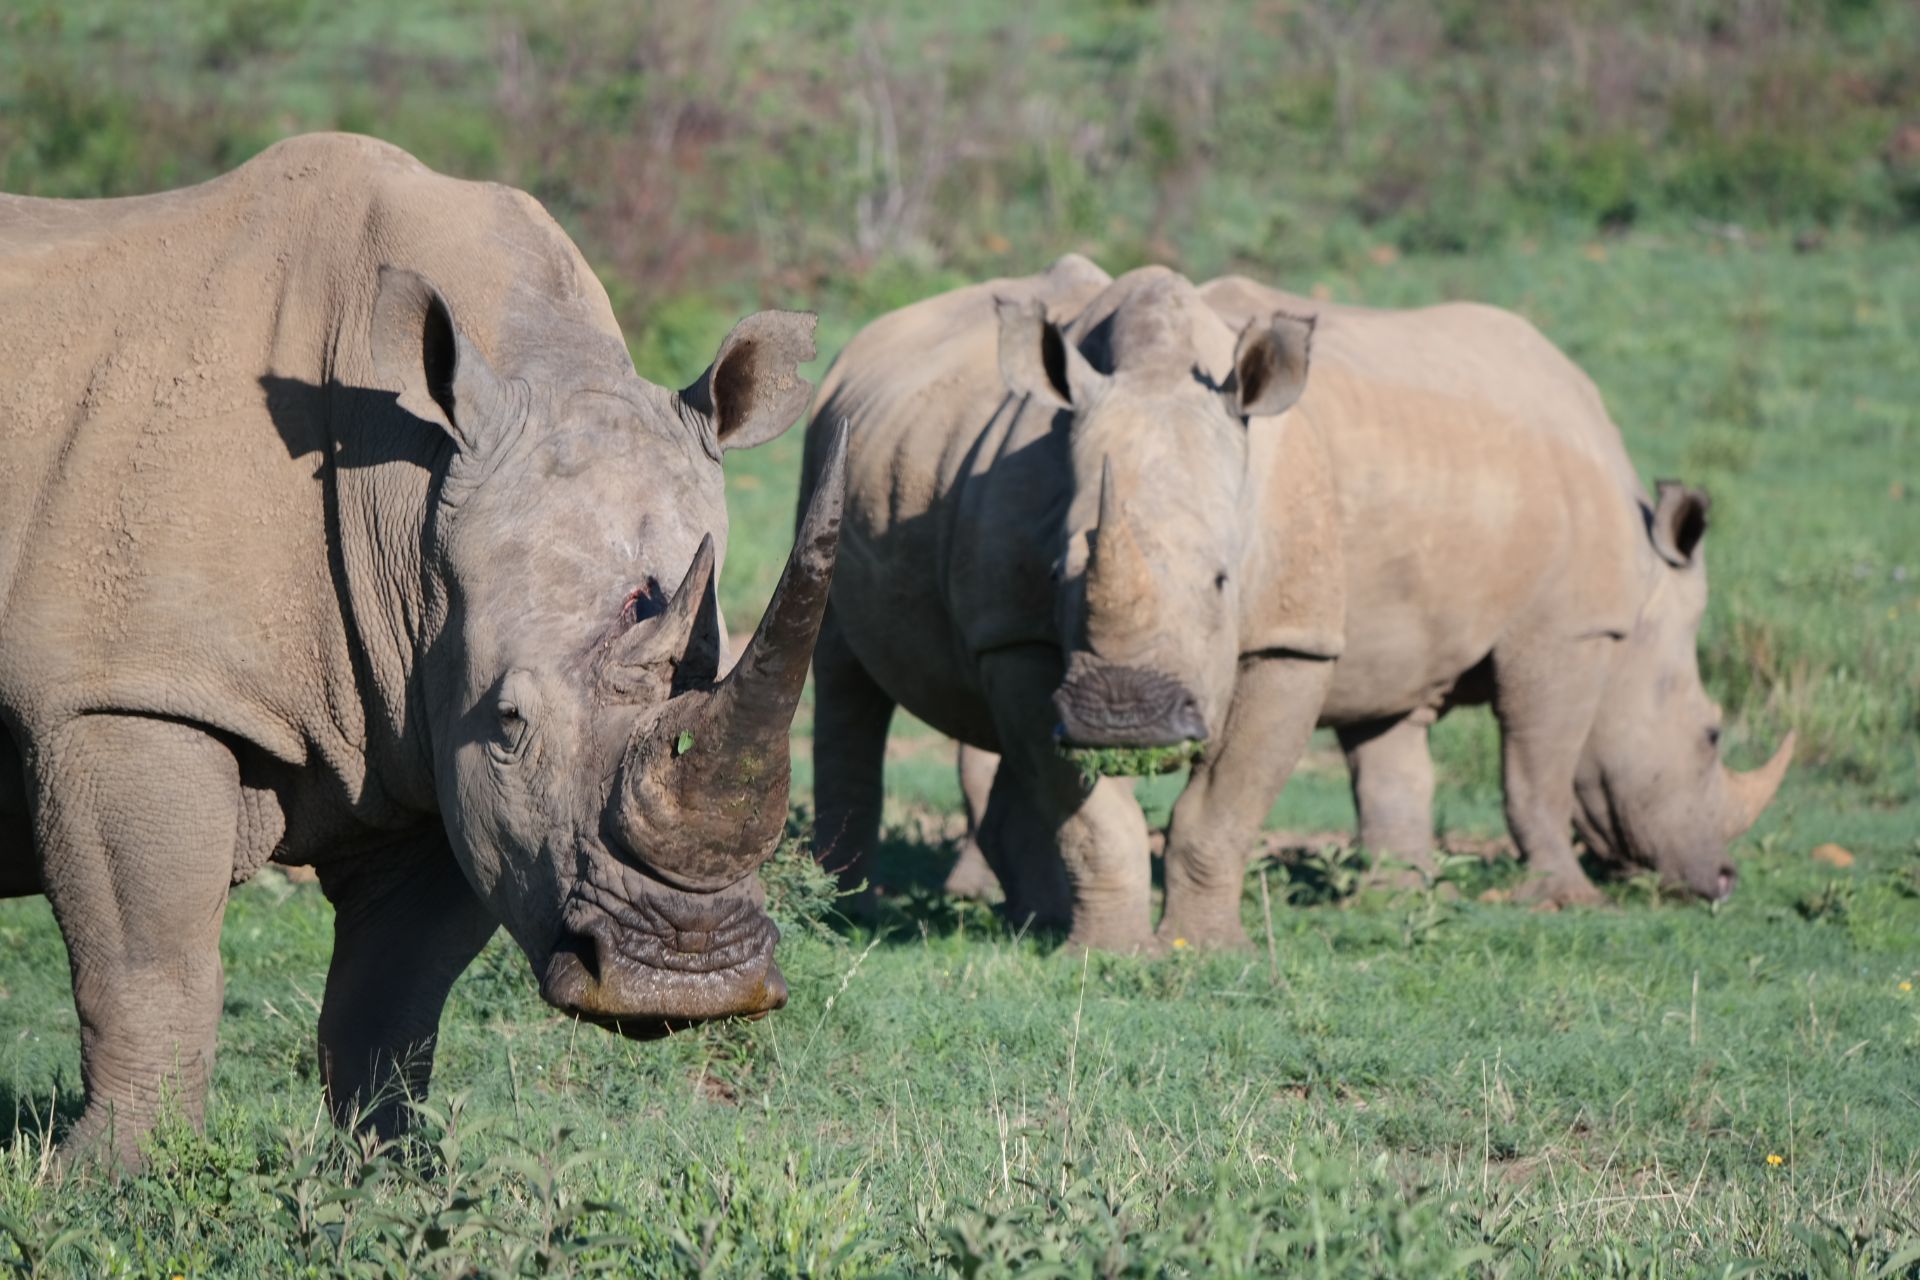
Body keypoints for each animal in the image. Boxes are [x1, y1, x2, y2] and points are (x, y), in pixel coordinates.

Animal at [0, 134, 846, 1166]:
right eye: (514, 721)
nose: (688, 979)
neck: (410, 495)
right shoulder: (122, 693)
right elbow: (147, 960)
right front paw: (116, 1178)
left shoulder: (431, 722)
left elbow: (395, 992)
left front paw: (394, 1170)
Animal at [800, 257, 1343, 950]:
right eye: (1058, 572)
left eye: (1225, 581)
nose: (1122, 716)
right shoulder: (1017, 635)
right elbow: (1091, 816)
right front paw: (1114, 952)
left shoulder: (1294, 640)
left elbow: (1224, 808)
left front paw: (1209, 948)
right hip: (828, 454)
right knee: (844, 673)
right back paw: (842, 919)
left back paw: (1035, 923)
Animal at [938, 267, 1795, 918]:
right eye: (1712, 736)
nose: (1721, 883)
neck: (1646, 595)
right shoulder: (1570, 632)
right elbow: (1536, 770)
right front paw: (1565, 900)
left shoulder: (1402, 643)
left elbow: (1395, 774)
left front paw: (1401, 892)